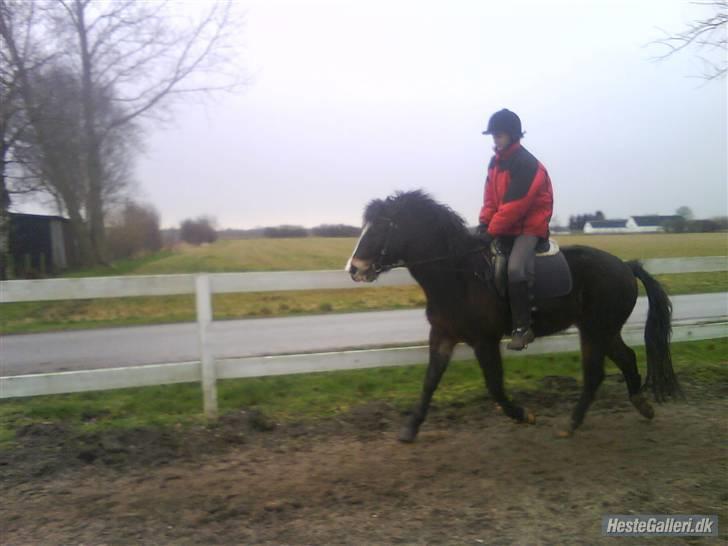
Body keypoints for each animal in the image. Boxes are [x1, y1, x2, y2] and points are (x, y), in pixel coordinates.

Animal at [346, 189, 684, 440]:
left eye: (382, 226)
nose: (353, 269)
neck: (461, 275)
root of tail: (625, 265)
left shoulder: (484, 341)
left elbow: (495, 387)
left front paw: (523, 415)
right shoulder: (442, 335)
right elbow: (429, 381)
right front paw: (411, 427)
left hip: (595, 330)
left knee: (594, 374)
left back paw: (572, 423)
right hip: (604, 330)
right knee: (626, 359)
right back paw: (641, 405)